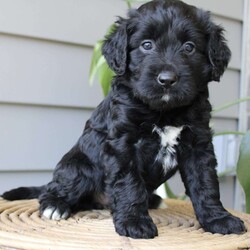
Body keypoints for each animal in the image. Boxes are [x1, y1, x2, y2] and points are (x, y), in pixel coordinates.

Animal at [2, 0, 247, 239]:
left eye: (189, 47)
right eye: (146, 45)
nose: (167, 80)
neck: (164, 110)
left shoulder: (198, 144)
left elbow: (206, 183)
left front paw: (218, 219)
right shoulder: (123, 144)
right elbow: (129, 183)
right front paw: (134, 222)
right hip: (79, 167)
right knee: (54, 188)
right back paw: (55, 205)